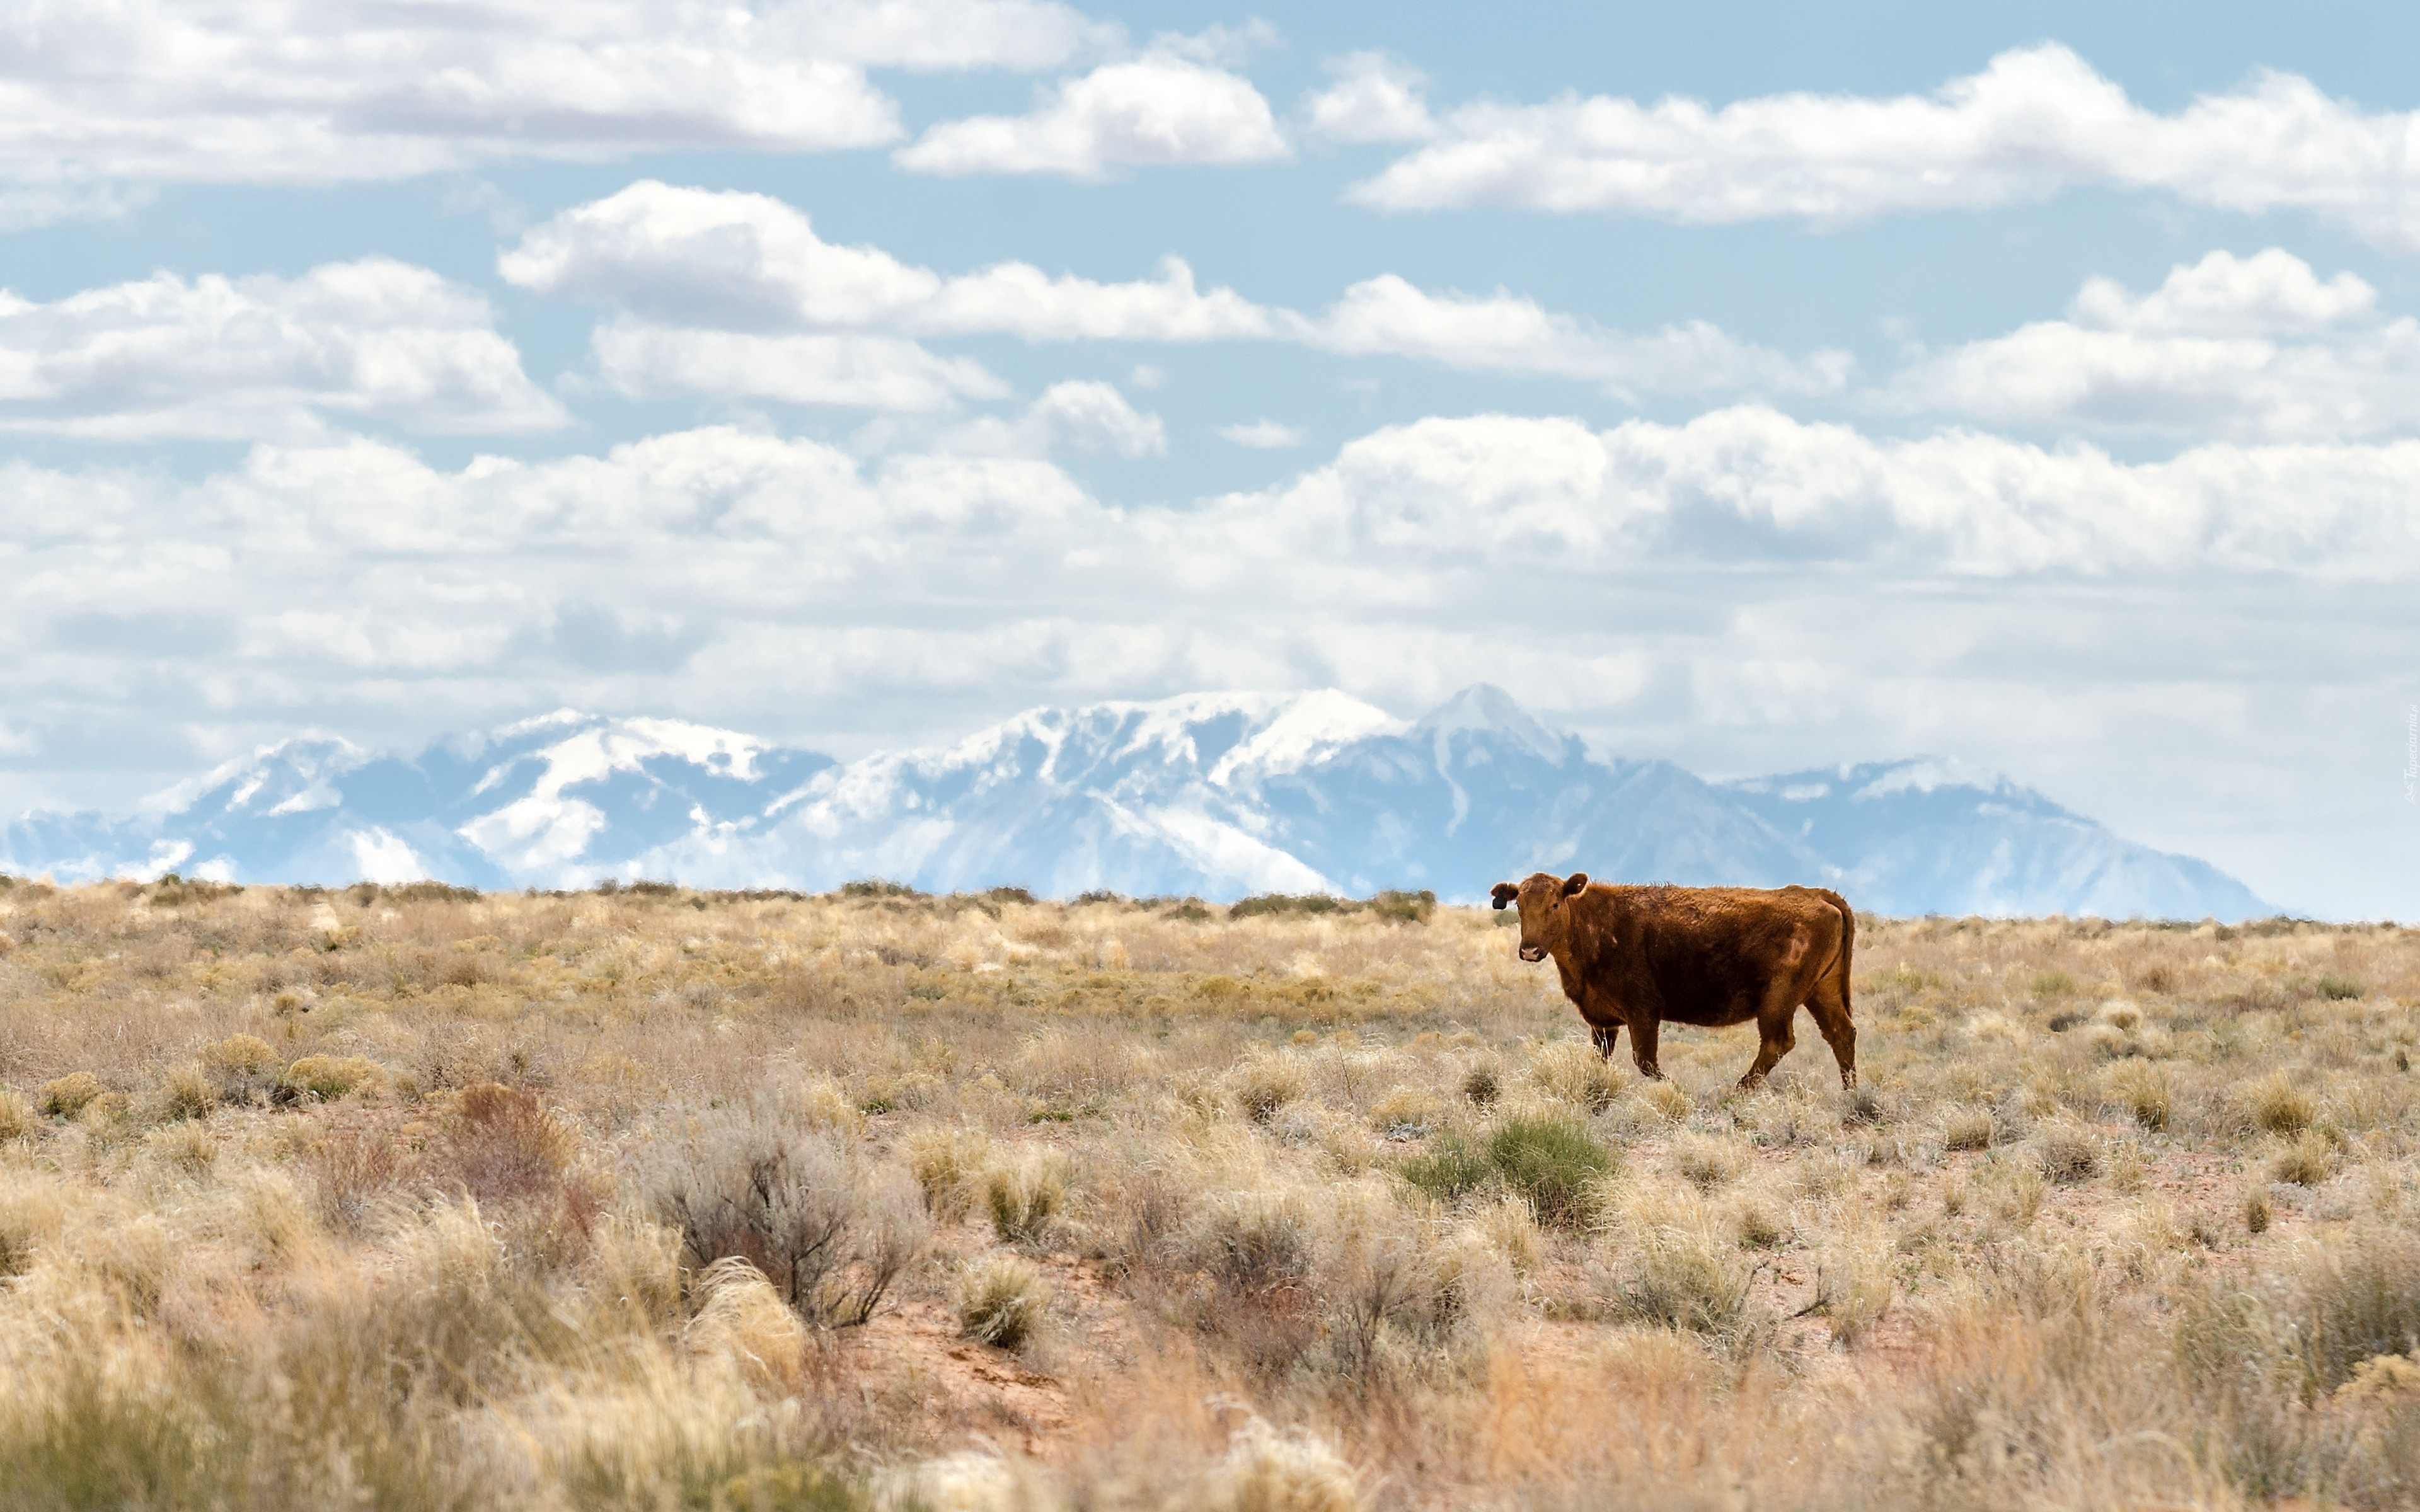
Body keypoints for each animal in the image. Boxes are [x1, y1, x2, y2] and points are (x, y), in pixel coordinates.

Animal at [1481, 871, 1858, 1084]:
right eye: (1519, 906)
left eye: (1555, 905)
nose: (1530, 950)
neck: (1594, 923)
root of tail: (1816, 894)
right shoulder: (1602, 1022)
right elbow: (1602, 1060)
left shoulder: (1643, 1013)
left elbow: (1646, 1062)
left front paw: (1673, 1088)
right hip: (1821, 992)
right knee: (1841, 1033)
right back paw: (1849, 1093)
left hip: (1779, 1000)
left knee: (1779, 1041)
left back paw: (1737, 1091)